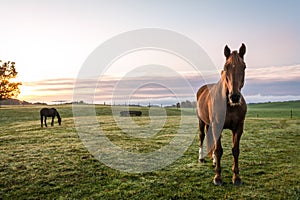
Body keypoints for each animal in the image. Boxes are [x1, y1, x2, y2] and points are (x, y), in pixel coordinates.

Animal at [197, 43, 246, 186]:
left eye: (244, 66)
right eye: (225, 67)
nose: (234, 97)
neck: (228, 105)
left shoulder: (238, 128)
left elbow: (235, 150)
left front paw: (236, 177)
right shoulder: (217, 125)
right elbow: (218, 150)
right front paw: (218, 177)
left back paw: (213, 161)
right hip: (202, 121)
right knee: (202, 137)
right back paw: (201, 158)